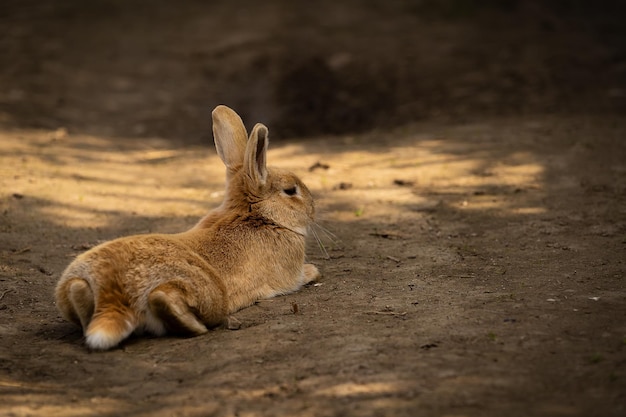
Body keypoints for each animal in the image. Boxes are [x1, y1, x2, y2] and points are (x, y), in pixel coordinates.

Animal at [55, 105, 320, 350]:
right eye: (290, 190)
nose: (313, 208)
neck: (255, 215)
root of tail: (113, 292)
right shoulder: (290, 275)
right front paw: (313, 271)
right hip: (209, 292)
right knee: (167, 299)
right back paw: (197, 326)